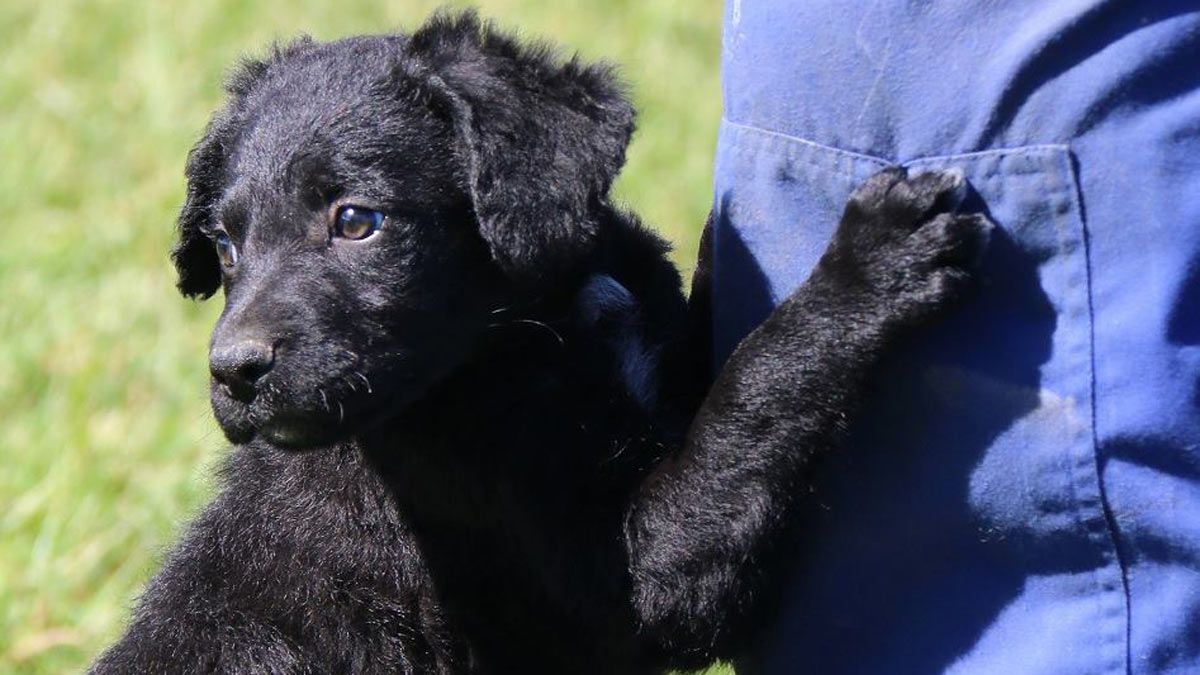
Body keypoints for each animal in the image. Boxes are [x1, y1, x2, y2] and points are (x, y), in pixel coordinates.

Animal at [93, 11, 988, 672]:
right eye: (225, 246)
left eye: (356, 220)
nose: (233, 373)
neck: (517, 340)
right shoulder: (635, 580)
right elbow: (753, 396)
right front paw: (869, 264)